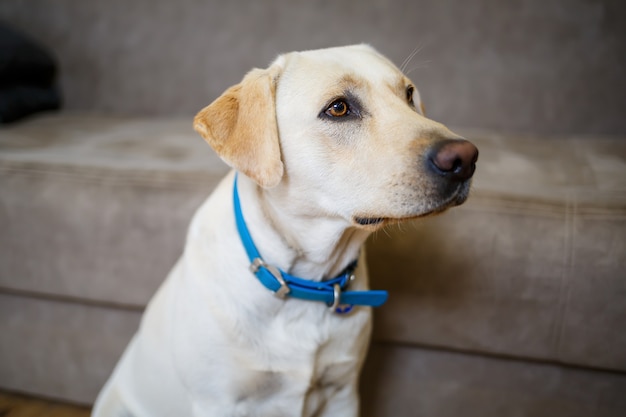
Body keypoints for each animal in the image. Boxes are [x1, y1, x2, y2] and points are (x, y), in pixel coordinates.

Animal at [90, 44, 476, 414]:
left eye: (409, 94)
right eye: (338, 108)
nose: (465, 159)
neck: (306, 280)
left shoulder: (342, 393)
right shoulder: (219, 402)